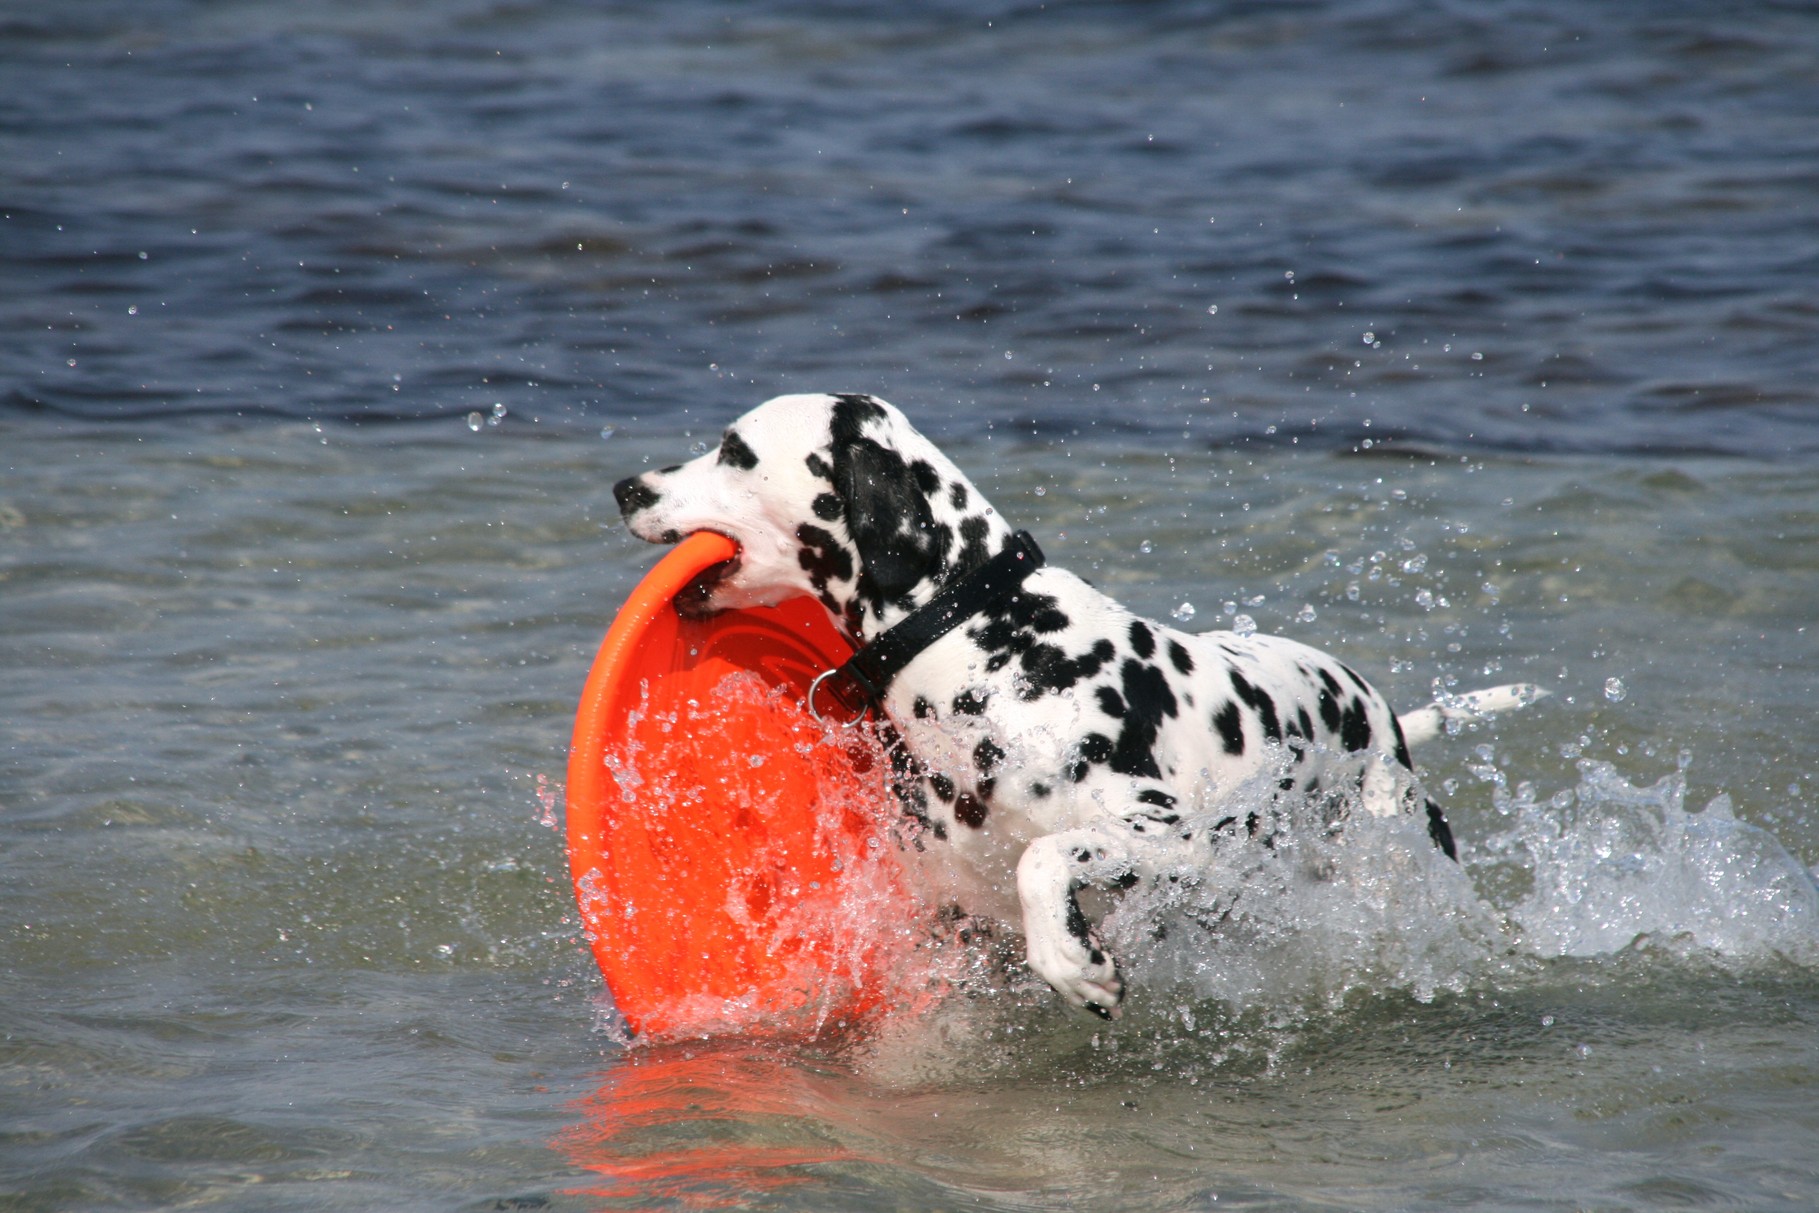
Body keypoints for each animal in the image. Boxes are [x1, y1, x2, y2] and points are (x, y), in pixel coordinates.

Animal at [611, 394, 1535, 1018]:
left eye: (734, 449)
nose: (625, 485)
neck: (988, 643)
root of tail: (1383, 722)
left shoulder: (1174, 839)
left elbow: (1043, 857)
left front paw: (1069, 958)